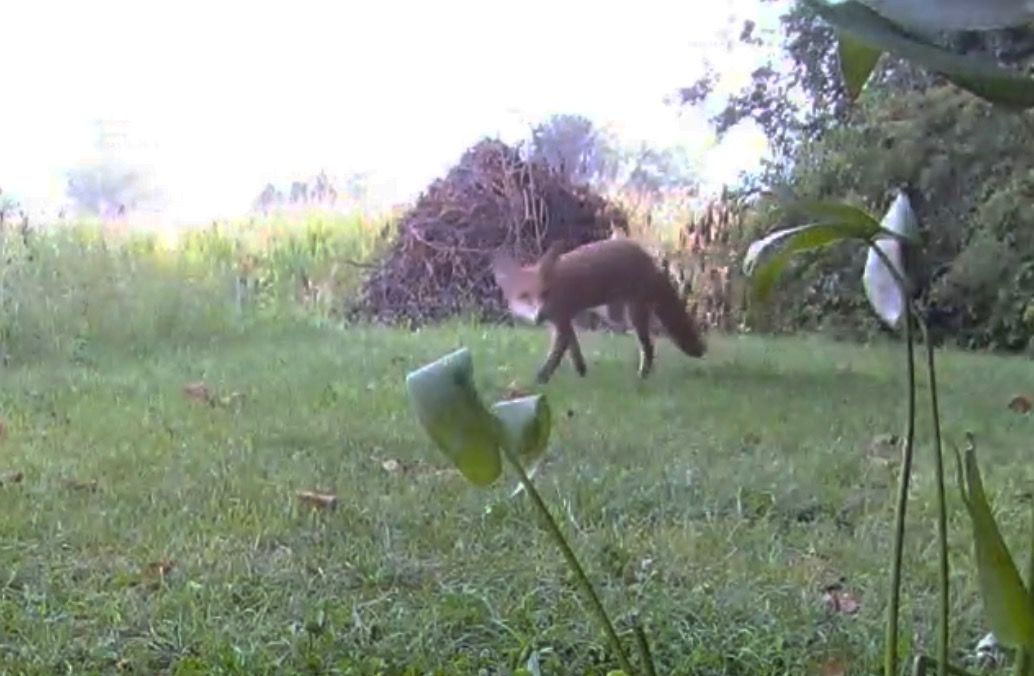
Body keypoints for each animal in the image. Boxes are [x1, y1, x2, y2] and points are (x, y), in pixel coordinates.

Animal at [491, 236, 707, 384]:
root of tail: (647, 258)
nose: (539, 316)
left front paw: (541, 380)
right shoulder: (563, 322)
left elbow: (556, 355)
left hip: (631, 316)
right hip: (616, 314)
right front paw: (581, 372)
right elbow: (574, 350)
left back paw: (642, 376)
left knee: (649, 345)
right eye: (524, 296)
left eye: (545, 293)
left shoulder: (561, 321)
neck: (556, 287)